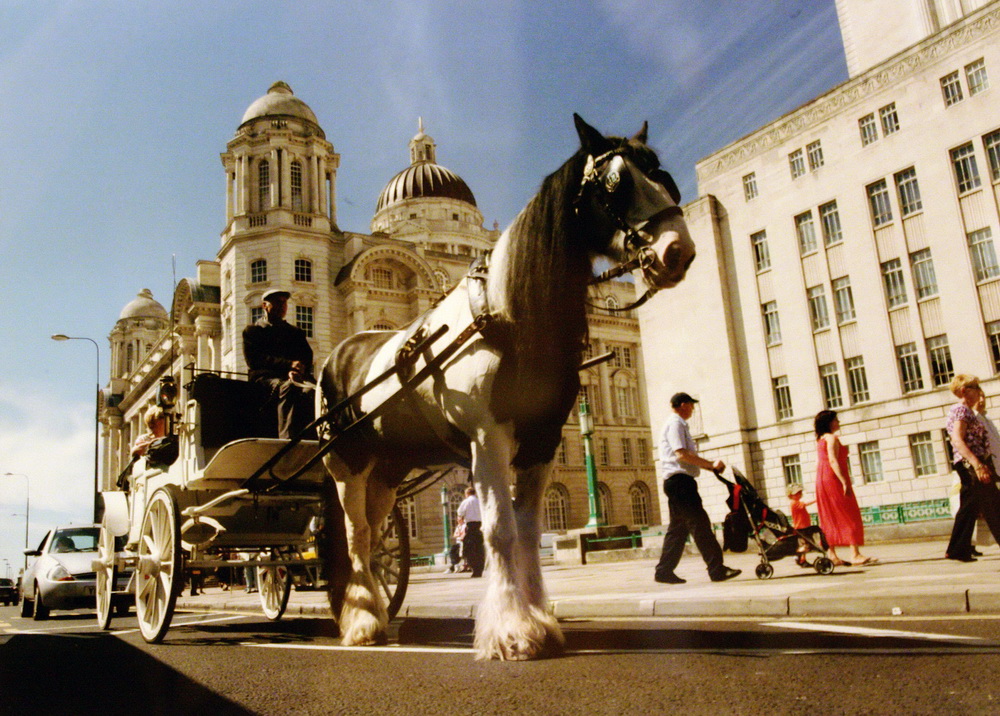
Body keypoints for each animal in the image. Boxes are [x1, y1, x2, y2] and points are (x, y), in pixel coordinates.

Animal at [320, 113, 696, 660]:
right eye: (615, 184)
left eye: (665, 178)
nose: (678, 251)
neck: (510, 309)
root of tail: (338, 352)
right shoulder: (487, 437)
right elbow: (498, 530)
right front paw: (511, 631)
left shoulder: (541, 444)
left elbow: (528, 531)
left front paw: (540, 620)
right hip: (346, 464)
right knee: (357, 535)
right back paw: (364, 623)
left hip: (387, 471)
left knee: (374, 537)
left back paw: (368, 614)